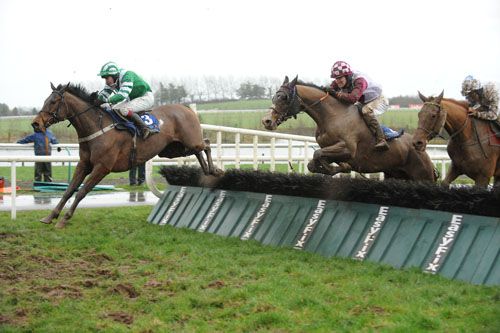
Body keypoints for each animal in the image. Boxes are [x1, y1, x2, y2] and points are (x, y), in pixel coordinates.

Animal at [30, 83, 219, 228]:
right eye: (45, 101)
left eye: (53, 102)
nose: (35, 124)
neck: (97, 127)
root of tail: (186, 108)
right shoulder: (84, 164)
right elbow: (69, 190)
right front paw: (50, 216)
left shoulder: (103, 167)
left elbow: (81, 192)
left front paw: (64, 220)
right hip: (172, 150)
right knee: (200, 149)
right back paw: (207, 171)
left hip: (189, 142)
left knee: (207, 144)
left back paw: (215, 171)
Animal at [264, 76, 436, 180]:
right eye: (274, 97)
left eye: (284, 97)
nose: (266, 121)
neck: (332, 116)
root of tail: (422, 149)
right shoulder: (330, 150)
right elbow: (313, 163)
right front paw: (338, 167)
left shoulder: (348, 149)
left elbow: (319, 154)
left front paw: (342, 168)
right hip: (395, 174)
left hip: (422, 176)